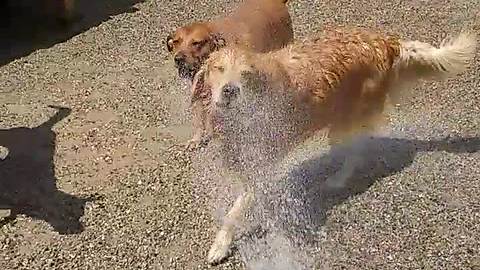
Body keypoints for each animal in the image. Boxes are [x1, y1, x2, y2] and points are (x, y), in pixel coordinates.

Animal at [165, 0, 294, 150]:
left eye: (196, 43)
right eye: (176, 42)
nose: (178, 59)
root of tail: (276, 2)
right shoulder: (200, 89)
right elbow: (199, 116)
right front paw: (197, 138)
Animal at [190, 26, 476, 264]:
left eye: (246, 75)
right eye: (218, 69)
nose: (230, 90)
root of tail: (386, 42)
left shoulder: (262, 164)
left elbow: (235, 212)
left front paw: (220, 245)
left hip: (344, 122)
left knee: (356, 151)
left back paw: (338, 179)